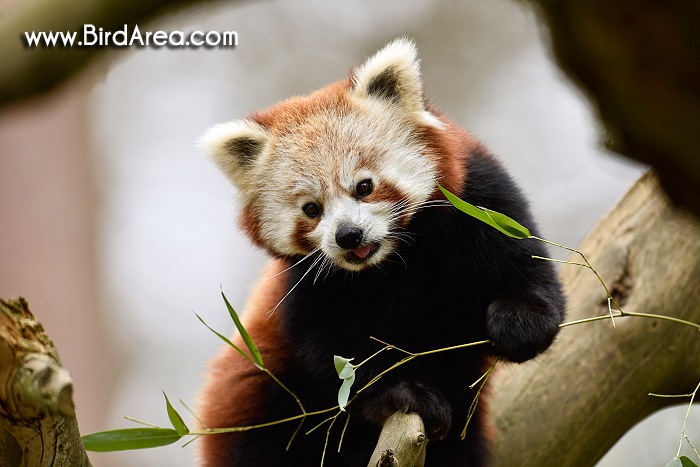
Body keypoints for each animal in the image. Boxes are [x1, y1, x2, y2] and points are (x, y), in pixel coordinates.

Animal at [196, 38, 564, 466]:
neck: (395, 261)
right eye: (311, 209)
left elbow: (523, 269)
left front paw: (522, 324)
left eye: (364, 186)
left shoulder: (481, 203)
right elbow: (339, 356)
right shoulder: (308, 285)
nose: (348, 236)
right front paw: (404, 393)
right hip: (260, 393)